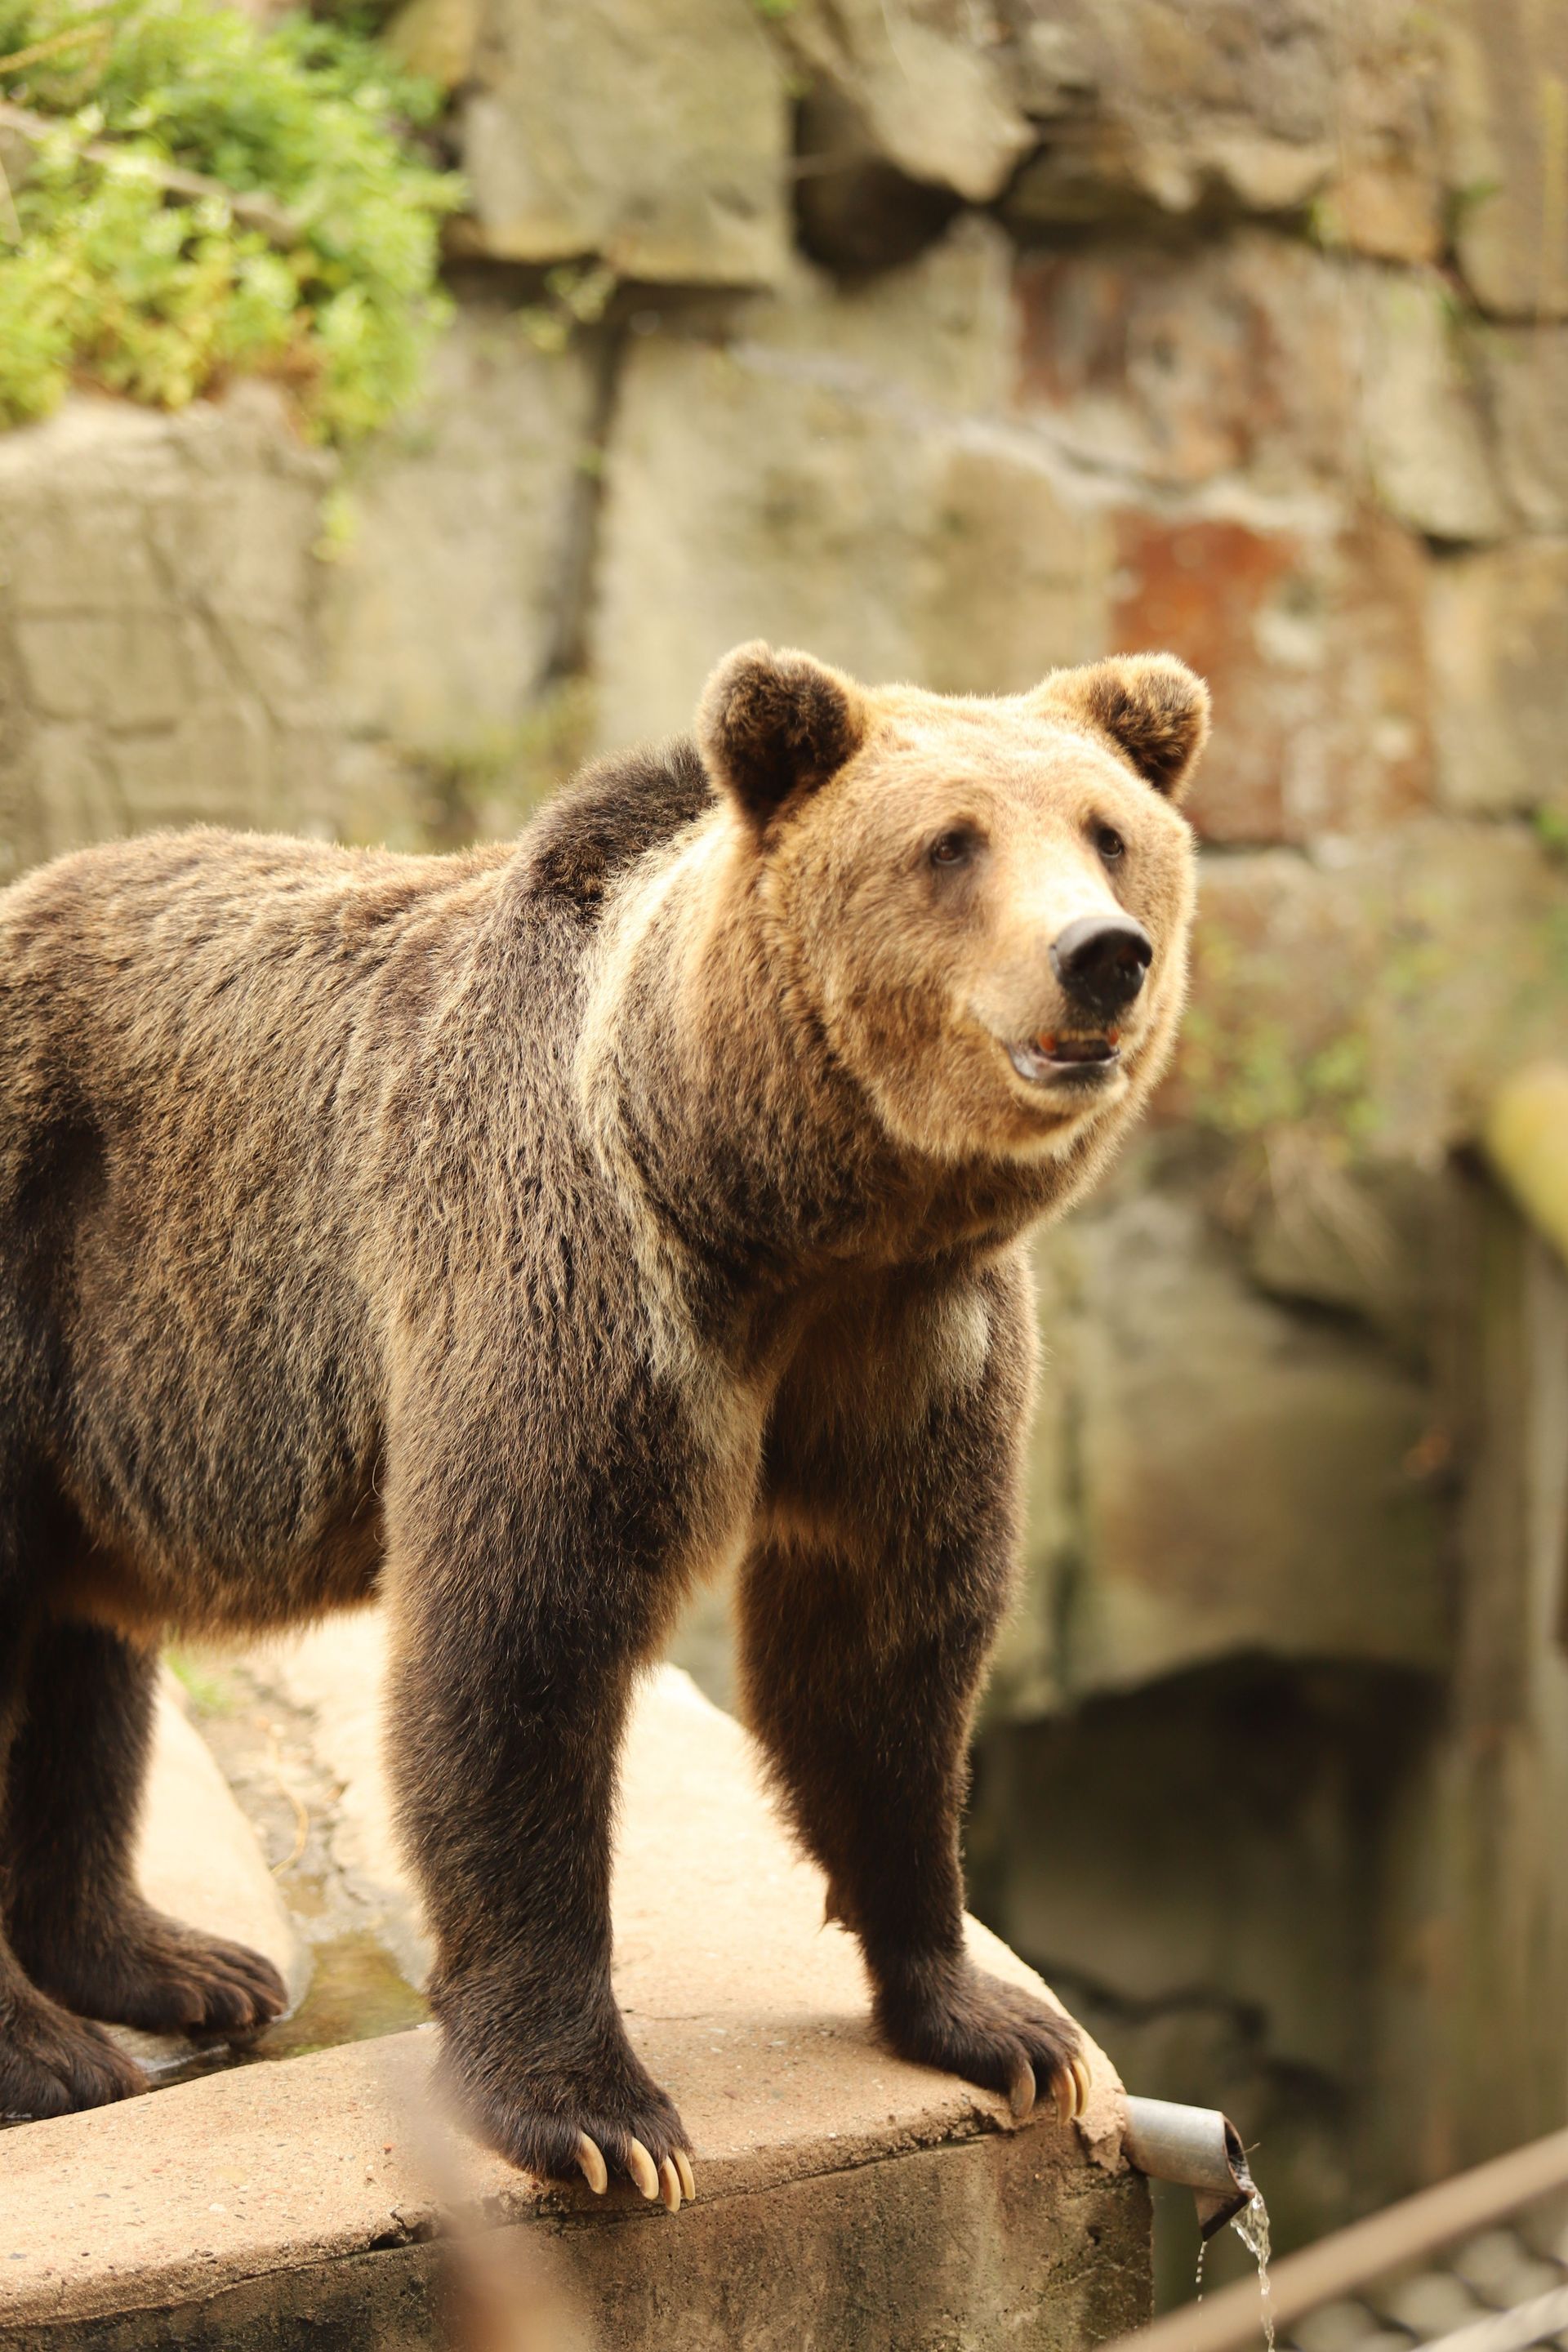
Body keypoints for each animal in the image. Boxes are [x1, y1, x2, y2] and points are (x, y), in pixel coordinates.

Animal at [0, 641, 1207, 2205]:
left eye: (1109, 832)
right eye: (952, 844)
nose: (1100, 954)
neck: (785, 1216)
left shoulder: (916, 1345)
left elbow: (887, 1649)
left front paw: (995, 2020)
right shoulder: (583, 1289)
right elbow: (525, 1643)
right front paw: (597, 2117)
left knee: (82, 1658)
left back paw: (172, 1963)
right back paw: (52, 2049)